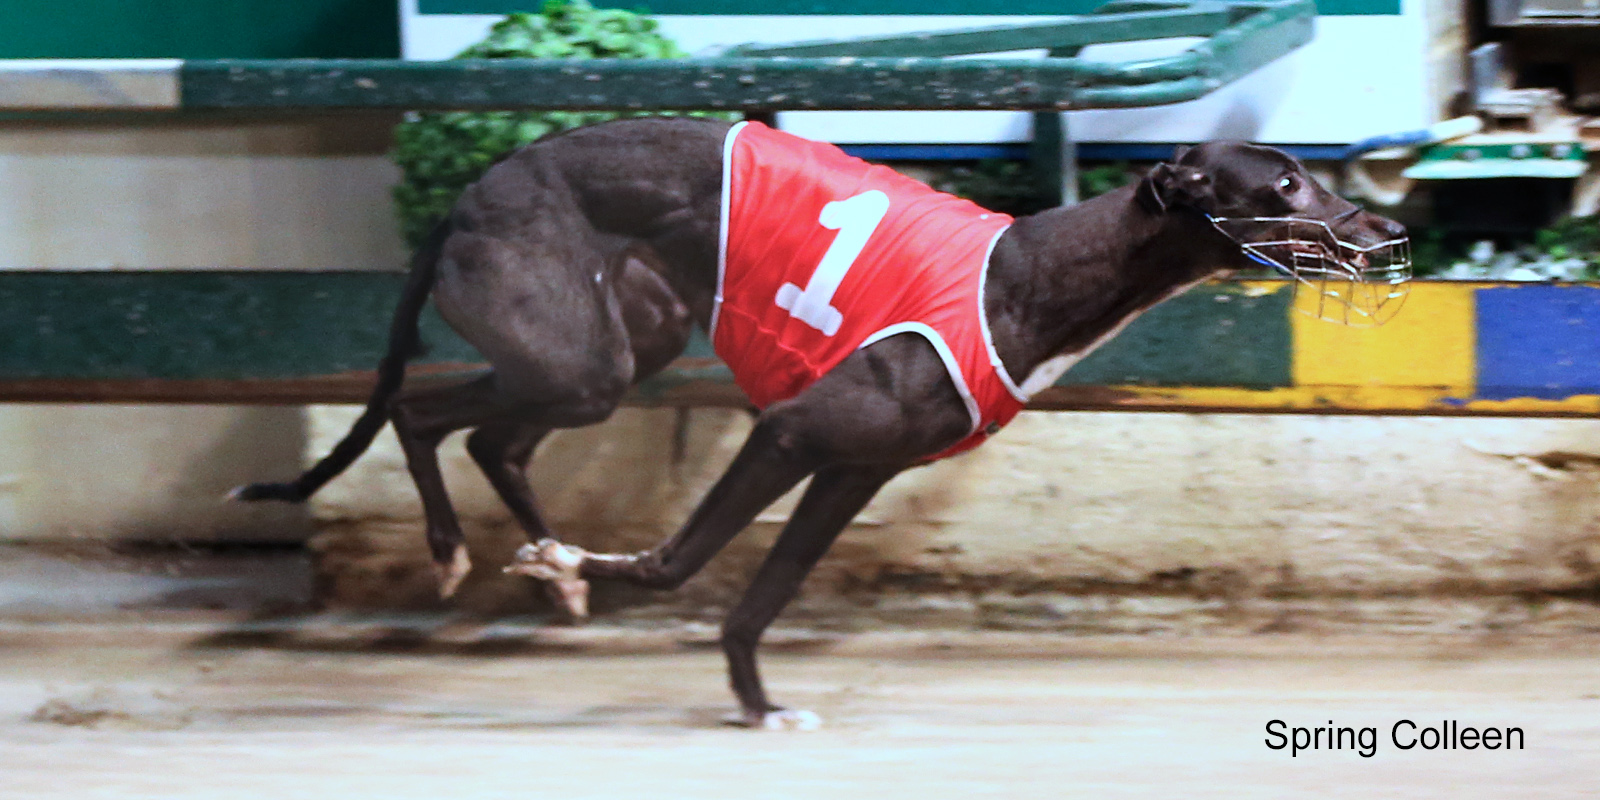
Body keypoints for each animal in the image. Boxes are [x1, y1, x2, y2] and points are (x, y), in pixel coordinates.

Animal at [236, 117, 1409, 730]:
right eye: (1283, 182)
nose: (1385, 233)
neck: (1024, 274)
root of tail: (468, 195)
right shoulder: (797, 432)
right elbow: (675, 564)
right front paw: (634, 591)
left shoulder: (856, 469)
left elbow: (762, 596)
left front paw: (756, 705)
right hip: (576, 357)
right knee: (424, 411)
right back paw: (468, 552)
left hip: (616, 347)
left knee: (487, 434)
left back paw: (550, 563)